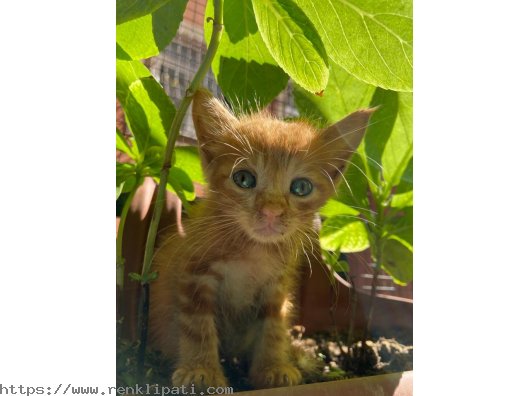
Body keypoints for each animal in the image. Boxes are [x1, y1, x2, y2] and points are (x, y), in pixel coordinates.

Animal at [146, 88, 374, 388]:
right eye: (243, 179)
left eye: (301, 187)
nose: (271, 211)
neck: (253, 252)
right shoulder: (194, 273)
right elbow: (198, 326)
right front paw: (202, 370)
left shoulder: (277, 286)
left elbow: (273, 326)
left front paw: (272, 367)